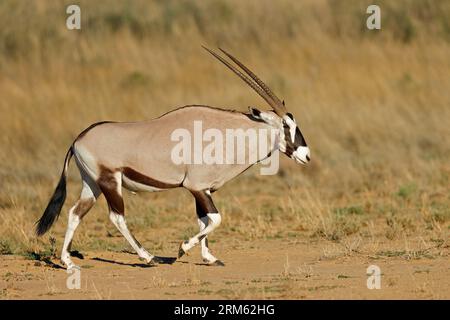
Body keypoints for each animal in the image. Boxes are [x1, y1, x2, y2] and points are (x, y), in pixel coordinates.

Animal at [36, 47, 310, 268]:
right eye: (286, 125)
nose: (306, 155)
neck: (224, 132)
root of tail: (78, 139)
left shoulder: (203, 190)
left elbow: (204, 220)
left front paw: (209, 258)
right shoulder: (196, 187)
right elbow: (215, 219)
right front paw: (182, 249)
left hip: (92, 184)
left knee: (75, 213)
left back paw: (68, 261)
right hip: (110, 182)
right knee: (117, 217)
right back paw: (148, 257)